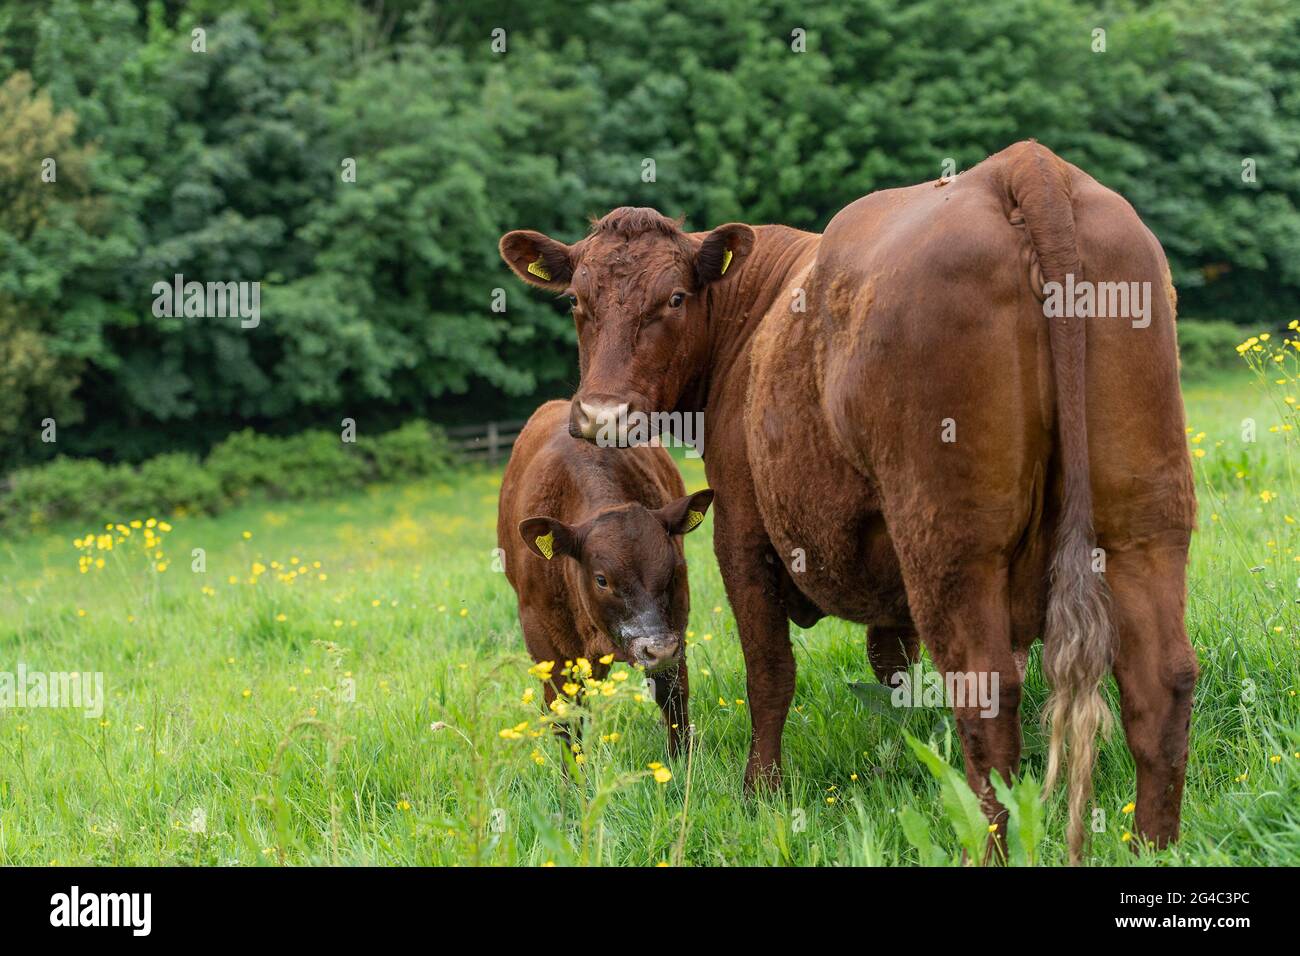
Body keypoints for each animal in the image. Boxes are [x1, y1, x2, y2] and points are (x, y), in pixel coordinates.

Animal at [499, 398, 717, 754]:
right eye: (602, 579)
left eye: (671, 570)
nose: (657, 648)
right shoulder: (542, 637)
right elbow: (566, 714)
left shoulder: (675, 626)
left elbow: (672, 693)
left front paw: (680, 759)